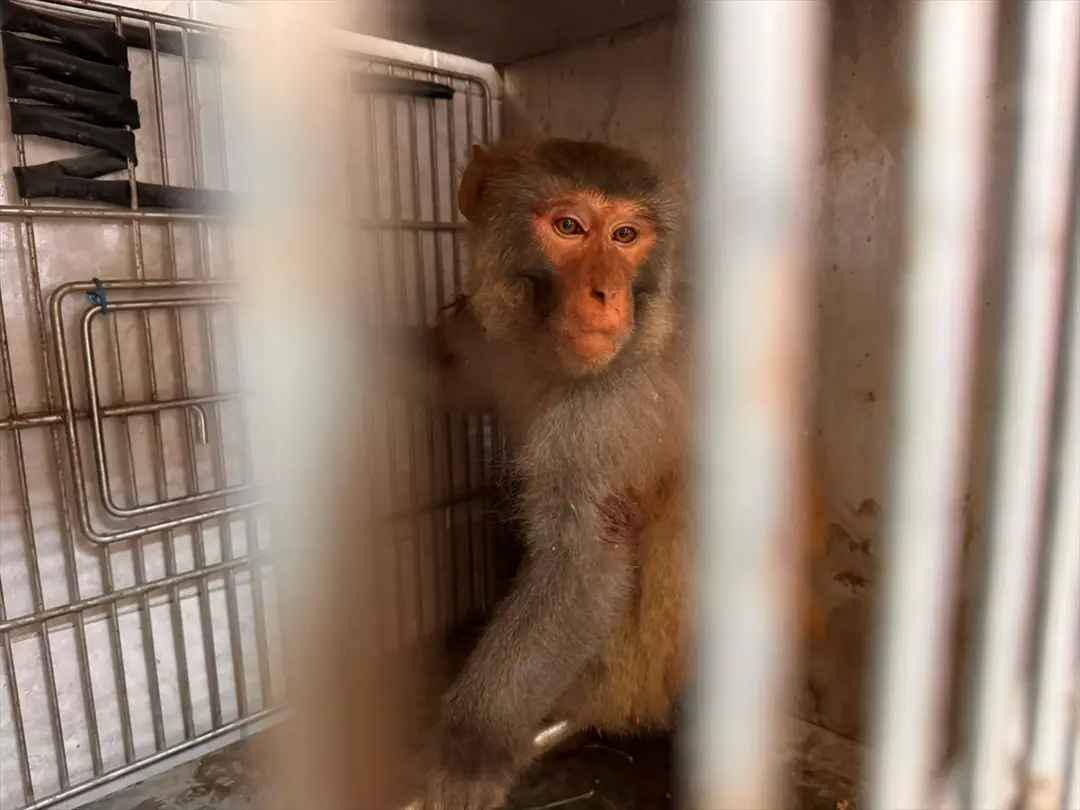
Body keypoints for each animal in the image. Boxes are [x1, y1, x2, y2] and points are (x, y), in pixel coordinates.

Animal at [397, 136, 830, 810]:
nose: (605, 293)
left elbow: (583, 564)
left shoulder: (604, 413)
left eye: (626, 235)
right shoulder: (483, 338)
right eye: (568, 227)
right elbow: (435, 372)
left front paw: (469, 750)